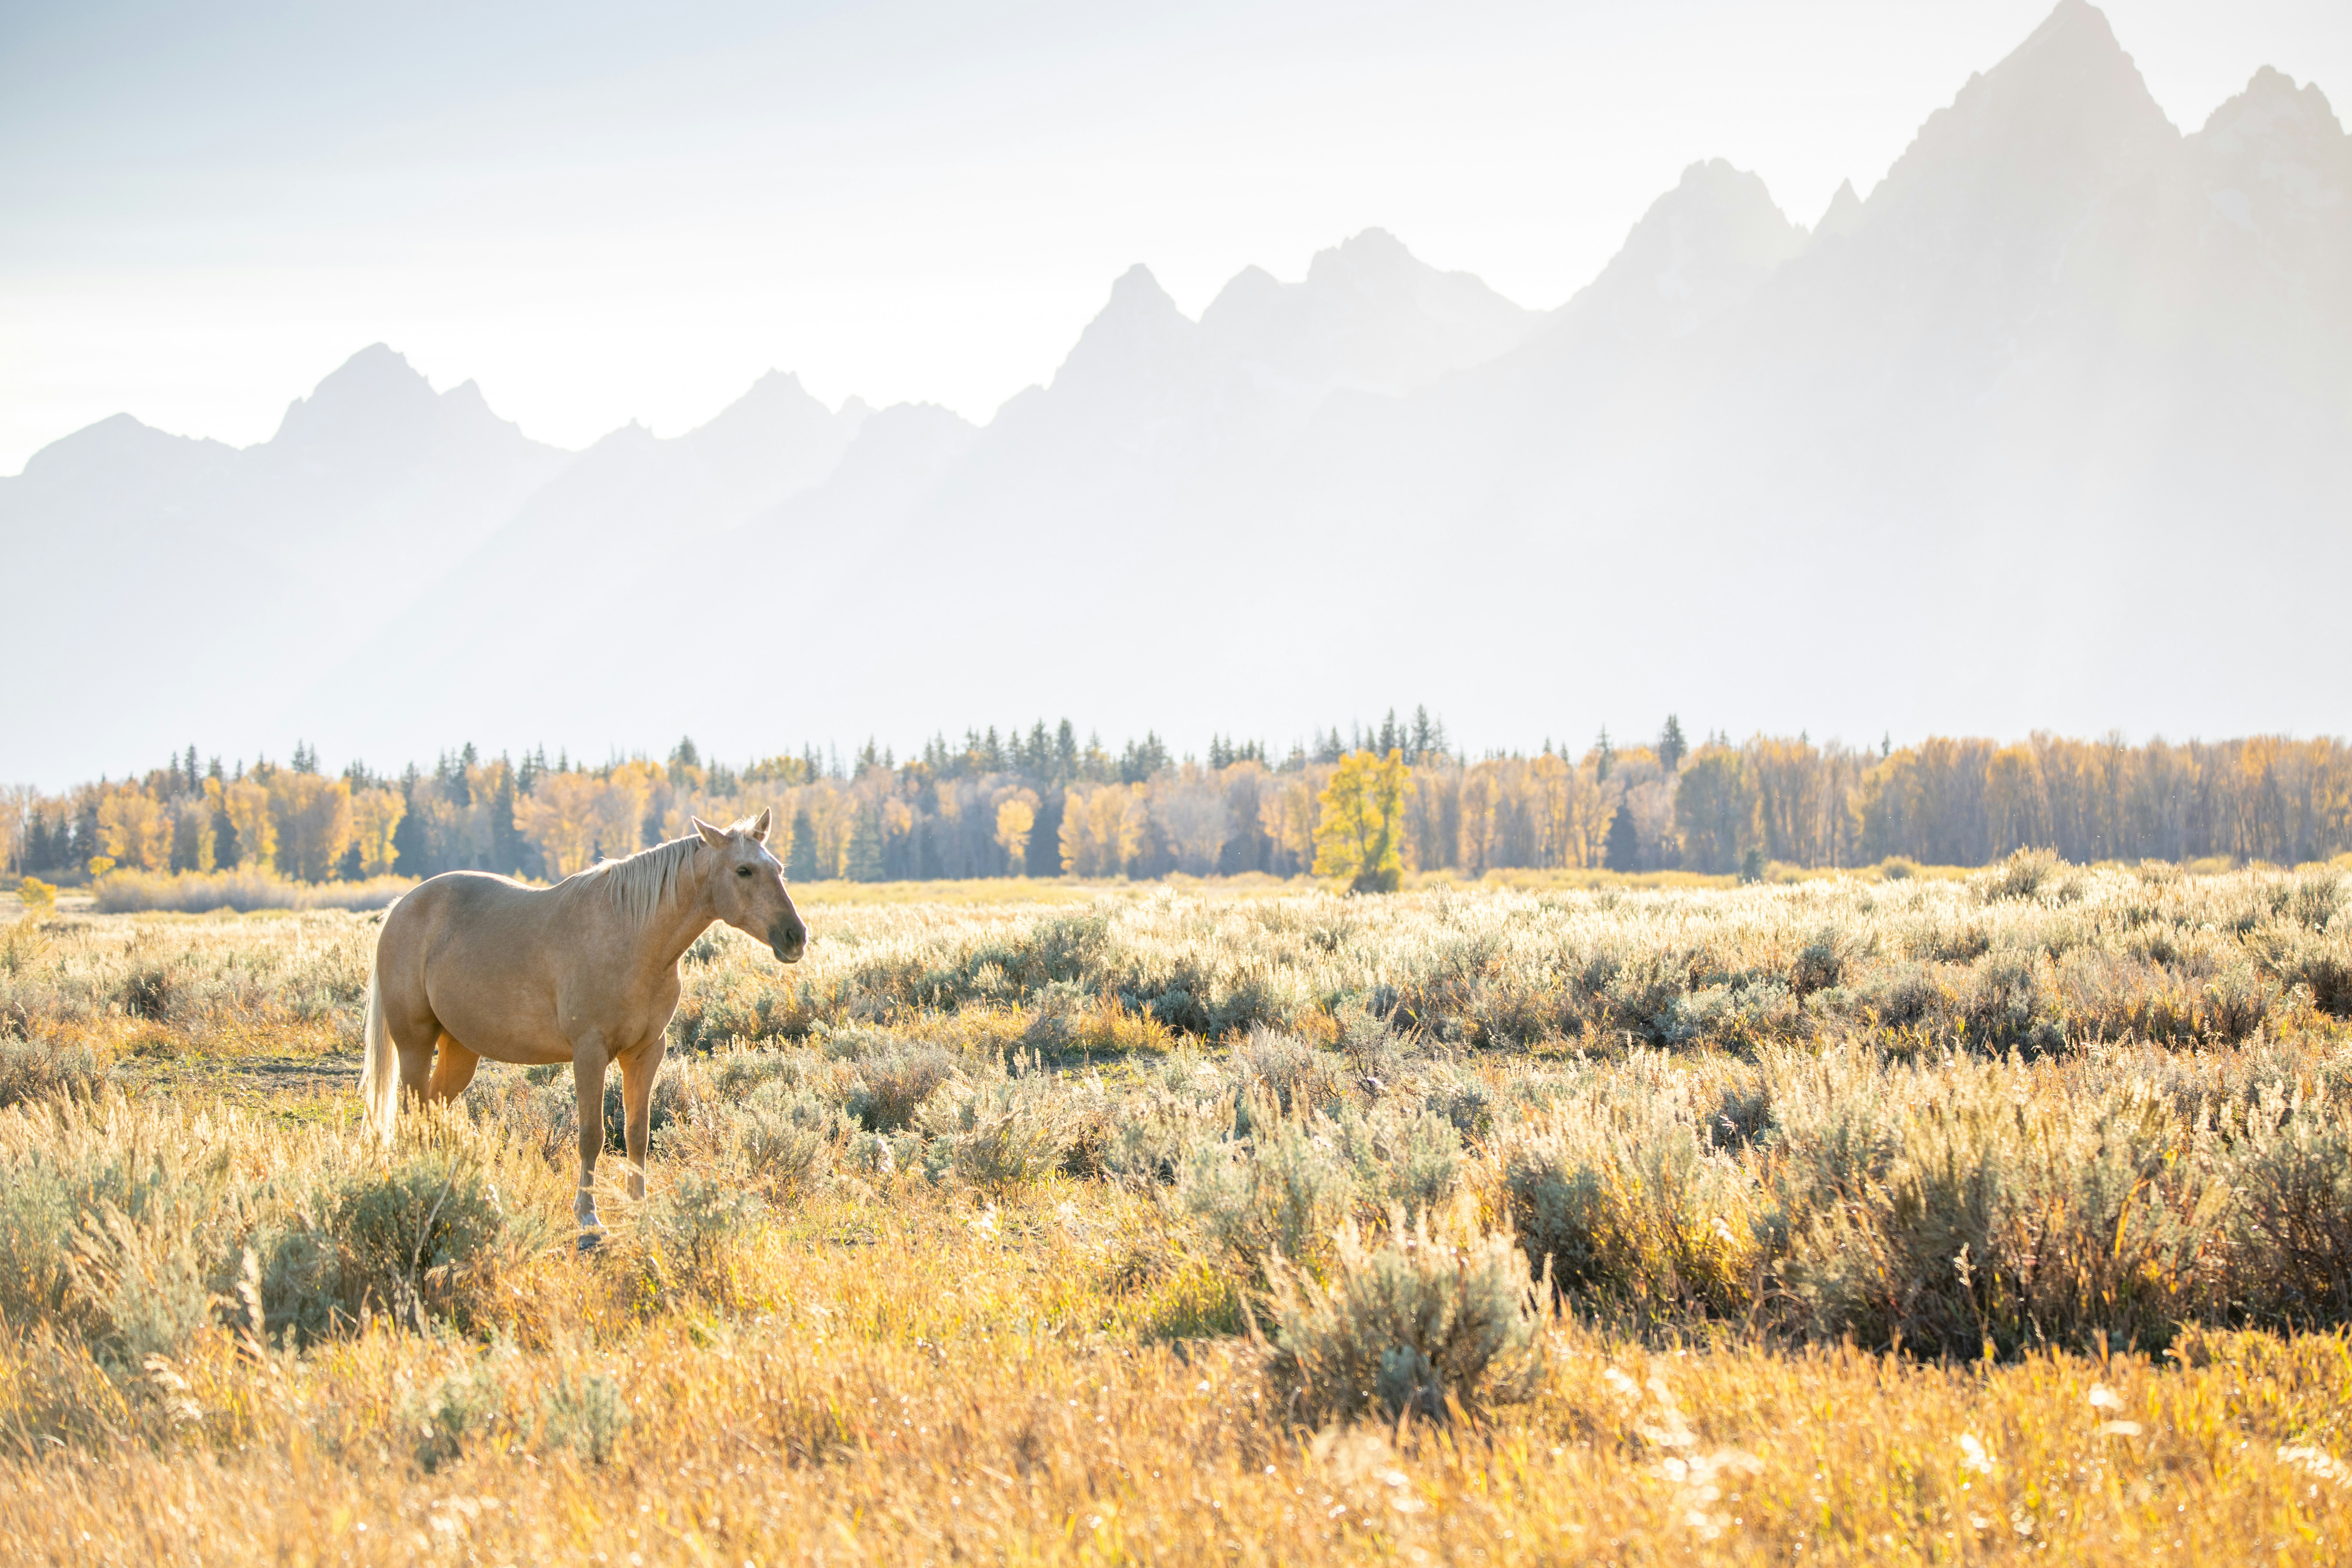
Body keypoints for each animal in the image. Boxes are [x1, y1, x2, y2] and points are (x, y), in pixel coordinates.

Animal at [358, 810, 806, 1237]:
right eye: (744, 870)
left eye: (779, 868)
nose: (796, 936)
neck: (633, 934)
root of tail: (400, 907)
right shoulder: (589, 1051)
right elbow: (592, 1135)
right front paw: (589, 1217)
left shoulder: (646, 1052)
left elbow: (637, 1132)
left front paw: (639, 1208)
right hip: (415, 1044)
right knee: (411, 1114)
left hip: (461, 1050)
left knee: (431, 1111)